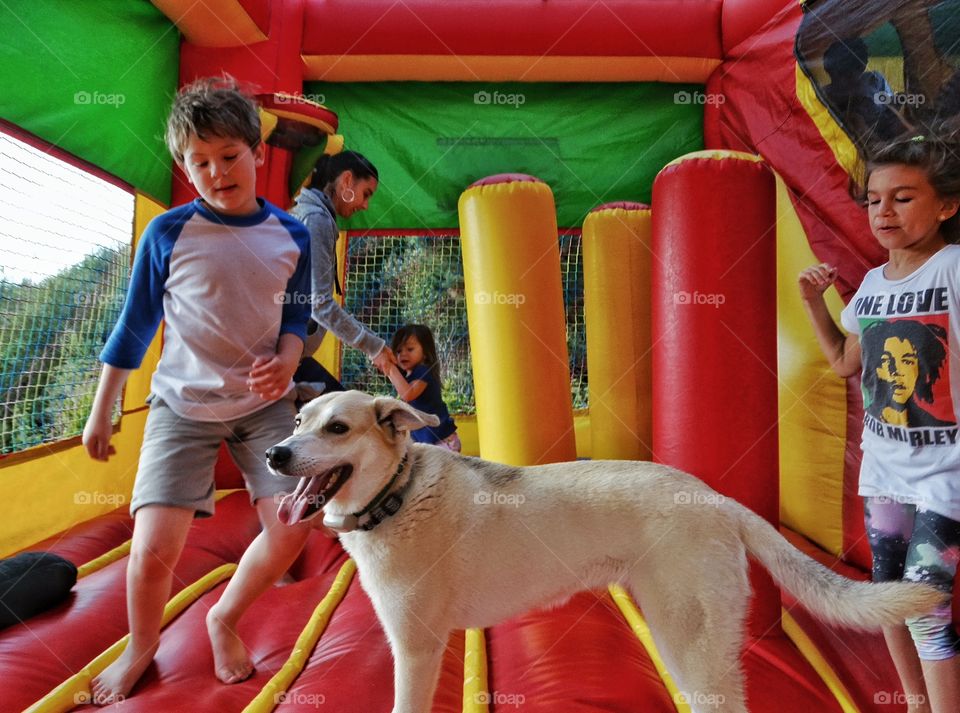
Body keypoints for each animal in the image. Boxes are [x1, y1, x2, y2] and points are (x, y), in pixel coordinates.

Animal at [266, 390, 940, 712]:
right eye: (298, 421)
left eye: (337, 429)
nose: (274, 453)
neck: (398, 495)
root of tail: (716, 499)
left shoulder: (416, 650)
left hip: (690, 643)